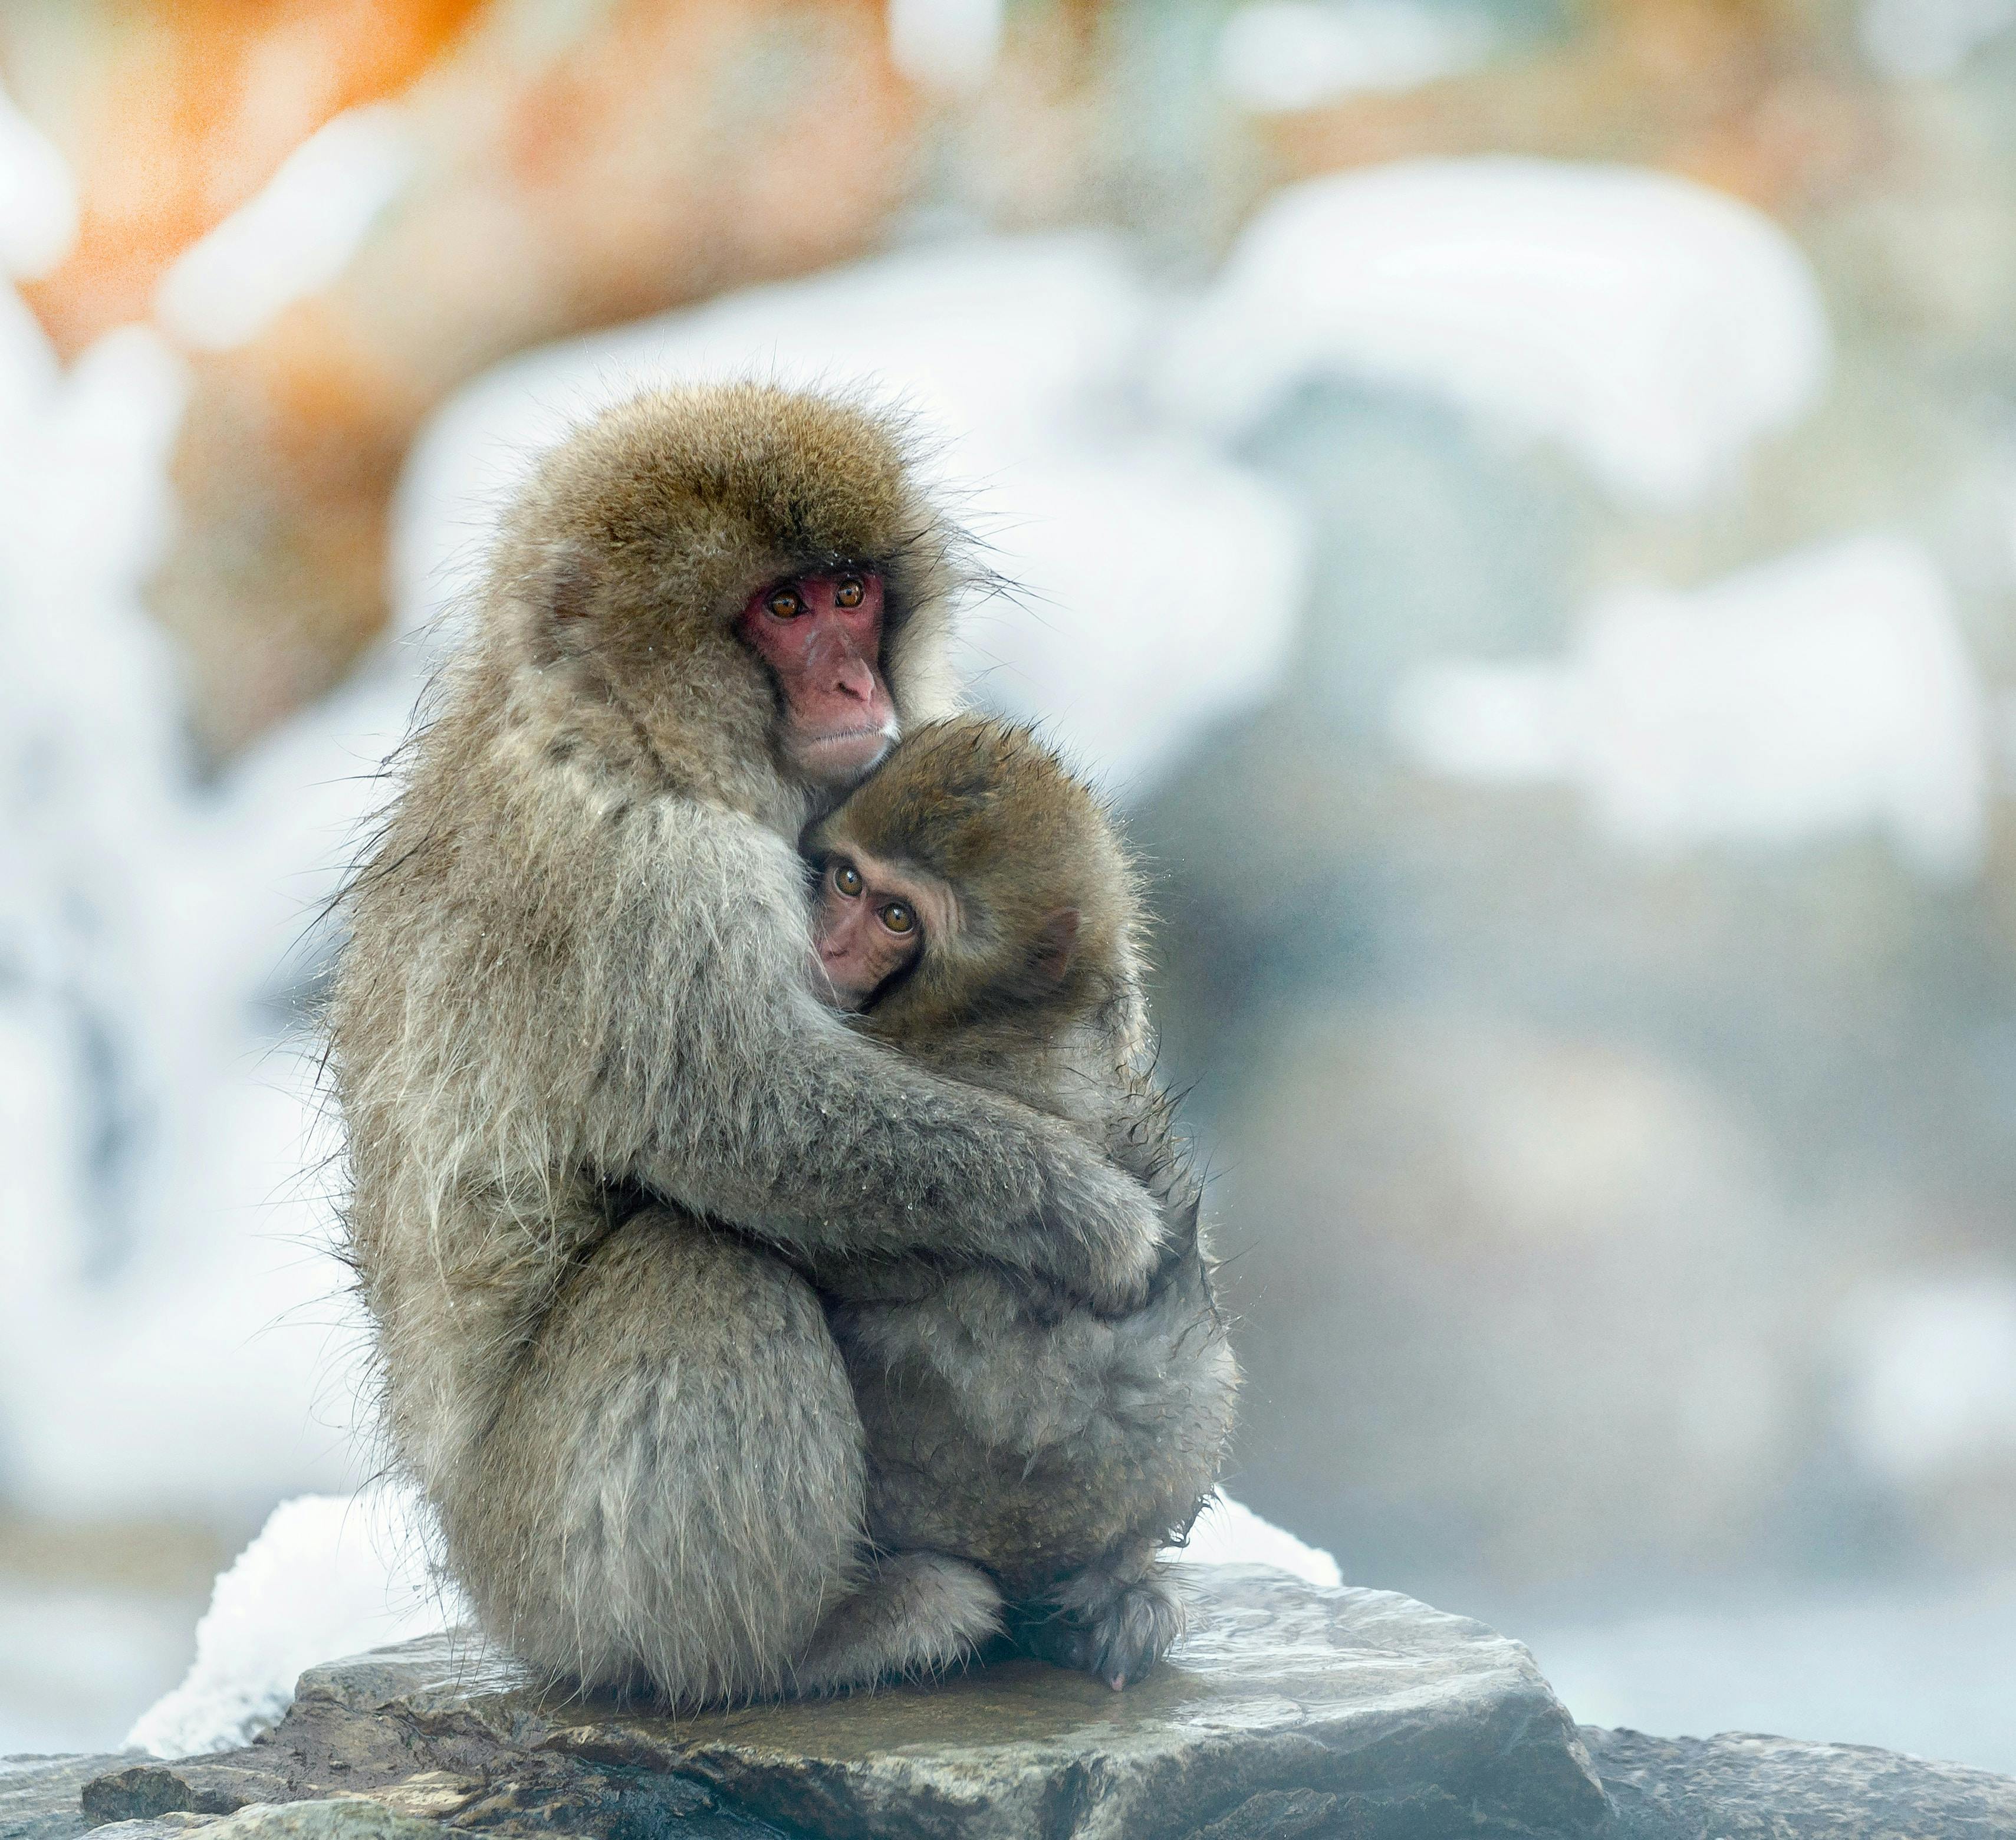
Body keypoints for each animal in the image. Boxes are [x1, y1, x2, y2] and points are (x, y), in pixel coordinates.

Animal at [327, 383, 1170, 1708]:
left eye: (847, 593)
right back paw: (807, 1644)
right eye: (781, 611)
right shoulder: (639, 868)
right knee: (699, 1264)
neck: (631, 731)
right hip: (541, 1572)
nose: (852, 689)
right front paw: (1084, 1213)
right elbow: (745, 1113)